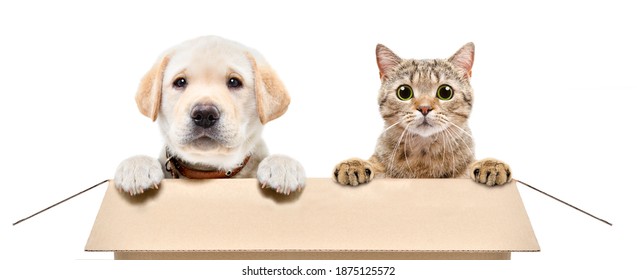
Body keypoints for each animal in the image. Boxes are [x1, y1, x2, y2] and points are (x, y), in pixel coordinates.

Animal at [332, 42, 512, 186]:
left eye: (445, 92)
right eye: (404, 92)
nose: (424, 108)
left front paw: (490, 164)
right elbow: (374, 163)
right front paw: (354, 164)